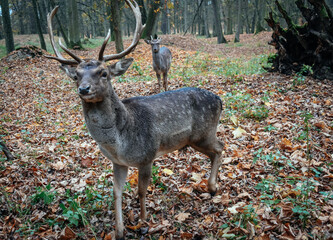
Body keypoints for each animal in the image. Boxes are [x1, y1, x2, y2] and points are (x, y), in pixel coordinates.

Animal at [45, 0, 223, 239]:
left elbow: (141, 191)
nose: (84, 89)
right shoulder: (118, 162)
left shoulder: (147, 156)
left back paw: (212, 188)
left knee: (220, 147)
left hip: (204, 133)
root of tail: (220, 100)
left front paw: (143, 221)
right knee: (215, 151)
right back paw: (211, 188)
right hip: (193, 140)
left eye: (103, 73)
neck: (120, 143)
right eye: (77, 75)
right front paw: (119, 230)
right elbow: (116, 192)